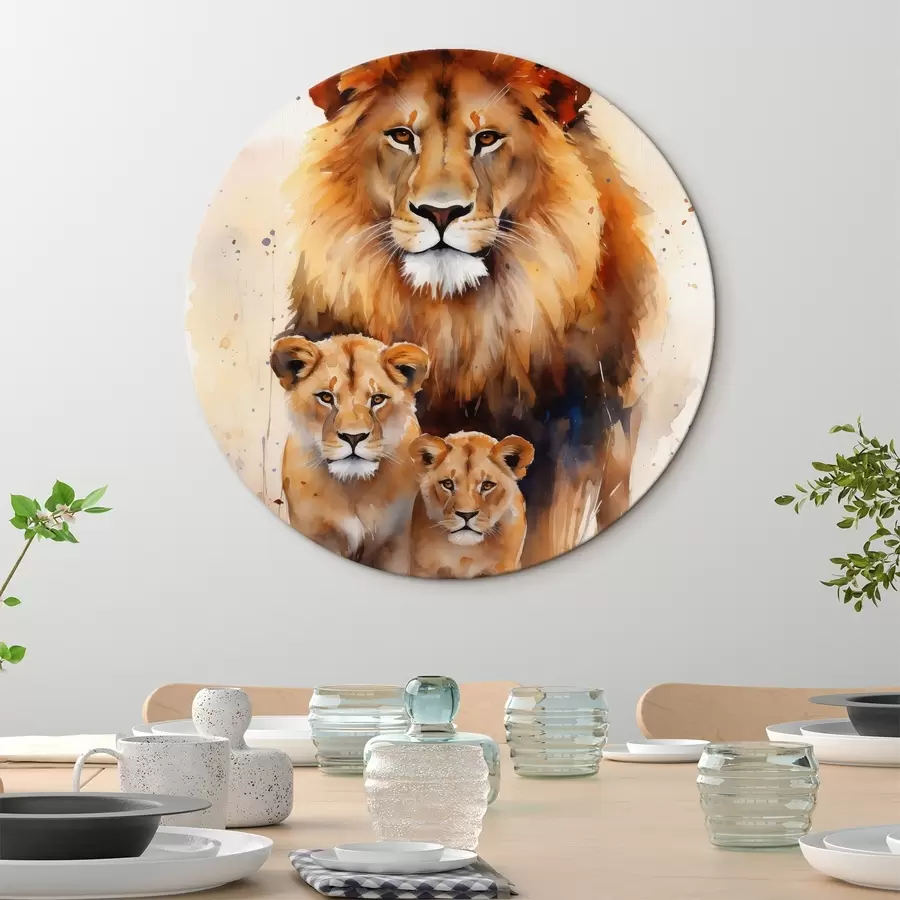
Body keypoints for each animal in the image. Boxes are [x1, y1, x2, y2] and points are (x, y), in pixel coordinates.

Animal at [270, 333, 430, 573]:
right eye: (326, 397)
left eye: (377, 399)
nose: (353, 437)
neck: (353, 486)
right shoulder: (316, 534)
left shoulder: (395, 542)